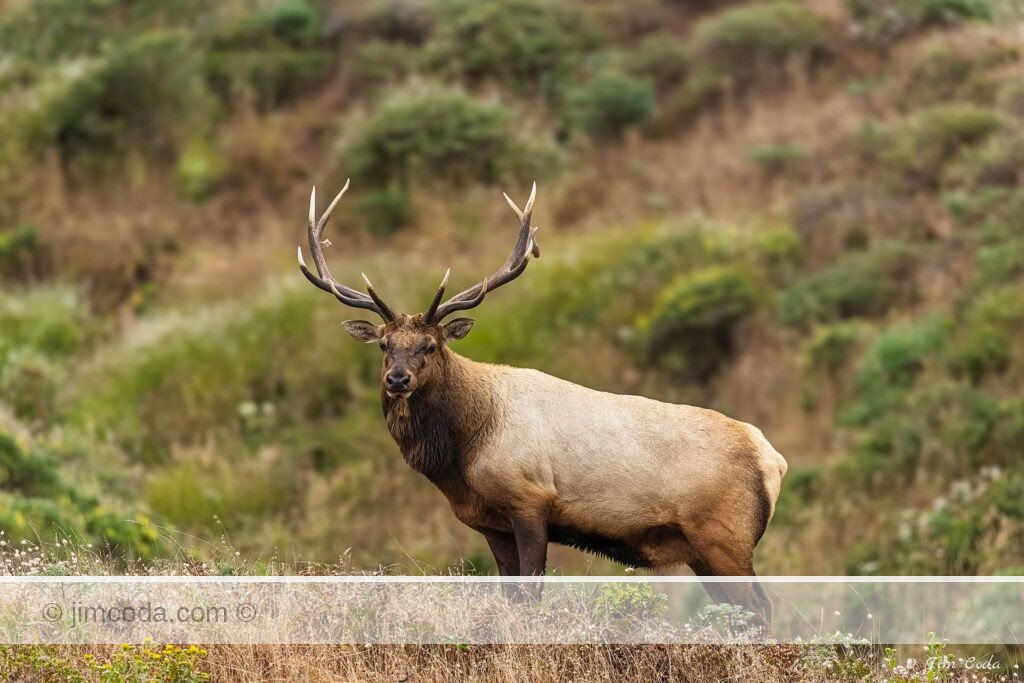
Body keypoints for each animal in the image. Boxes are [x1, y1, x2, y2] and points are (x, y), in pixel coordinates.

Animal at [297, 180, 788, 624]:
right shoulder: (491, 522)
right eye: (384, 345)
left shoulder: (530, 499)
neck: (465, 451)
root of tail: (772, 459)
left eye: (431, 346)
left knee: (763, 609)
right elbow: (511, 598)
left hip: (724, 538)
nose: (398, 379)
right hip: (705, 550)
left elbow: (532, 596)